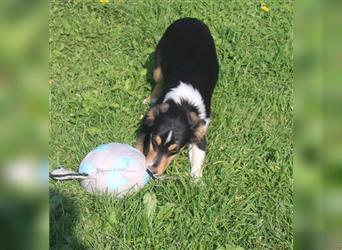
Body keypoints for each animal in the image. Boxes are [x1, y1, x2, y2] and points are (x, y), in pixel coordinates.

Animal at [135, 17, 218, 178]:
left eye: (175, 149)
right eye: (154, 141)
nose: (152, 170)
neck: (182, 105)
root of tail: (190, 19)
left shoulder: (200, 131)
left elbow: (198, 157)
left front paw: (196, 180)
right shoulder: (146, 124)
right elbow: (138, 146)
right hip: (158, 64)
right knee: (159, 80)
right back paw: (150, 99)